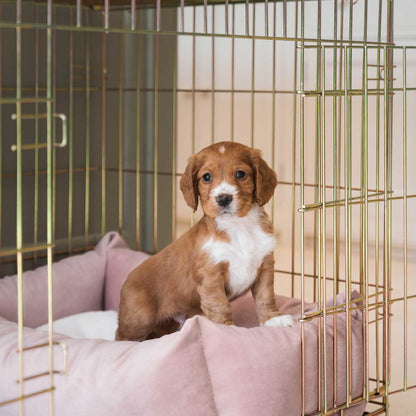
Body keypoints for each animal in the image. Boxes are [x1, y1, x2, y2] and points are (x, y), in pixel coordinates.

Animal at [115, 141, 294, 342]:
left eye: (241, 174)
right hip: (138, 319)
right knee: (121, 336)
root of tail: (126, 281)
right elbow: (220, 304)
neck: (237, 227)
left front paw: (273, 320)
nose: (223, 198)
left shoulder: (265, 265)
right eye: (206, 177)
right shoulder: (210, 275)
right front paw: (226, 329)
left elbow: (266, 296)